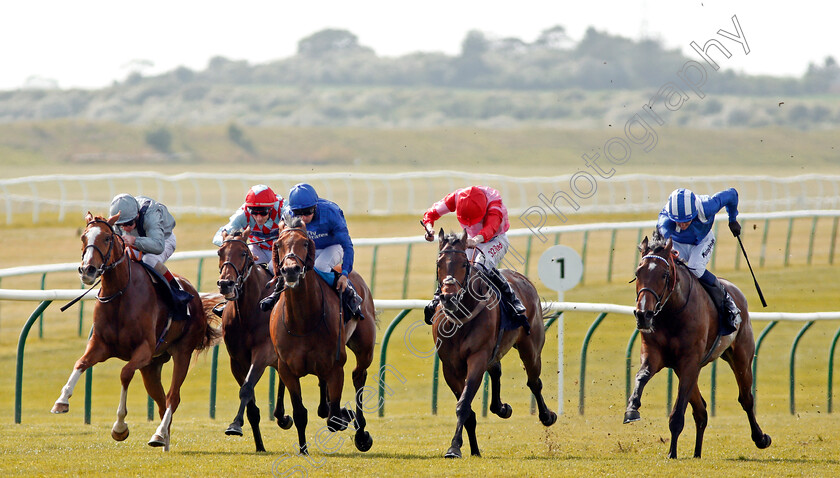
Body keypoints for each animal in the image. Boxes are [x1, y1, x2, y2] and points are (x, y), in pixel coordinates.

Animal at [50, 211, 221, 450]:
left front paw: (119, 427)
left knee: (173, 397)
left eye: (106, 238)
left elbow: (124, 373)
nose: (87, 270)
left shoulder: (144, 350)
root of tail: (194, 295)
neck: (120, 295)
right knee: (161, 400)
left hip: (182, 352)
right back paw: (163, 439)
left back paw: (159, 434)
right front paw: (61, 401)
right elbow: (81, 363)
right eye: (84, 237)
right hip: (152, 366)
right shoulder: (100, 345)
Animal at [215, 228, 294, 452]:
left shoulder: (262, 353)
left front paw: (234, 424)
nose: (225, 283)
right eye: (220, 252)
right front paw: (258, 444)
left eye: (243, 253)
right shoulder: (236, 360)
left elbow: (247, 388)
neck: (247, 313)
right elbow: (251, 403)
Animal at [270, 217, 378, 456]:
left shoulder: (335, 366)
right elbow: (300, 413)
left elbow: (334, 418)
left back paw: (361, 433)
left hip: (364, 347)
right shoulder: (287, 369)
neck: (303, 321)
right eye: (279, 244)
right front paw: (303, 450)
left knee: (359, 376)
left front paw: (347, 417)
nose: (291, 270)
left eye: (304, 242)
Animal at [430, 232, 556, 460]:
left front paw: (454, 447)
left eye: (464, 263)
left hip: (531, 349)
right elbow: (468, 410)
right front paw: (472, 449)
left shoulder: (478, 357)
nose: (449, 297)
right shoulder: (449, 367)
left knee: (534, 382)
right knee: (497, 370)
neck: (460, 317)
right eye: (439, 263)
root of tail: (524, 280)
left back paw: (547, 416)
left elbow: (463, 405)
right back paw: (502, 408)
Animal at [628, 233, 772, 458]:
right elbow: (642, 375)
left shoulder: (690, 361)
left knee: (746, 399)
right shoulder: (655, 354)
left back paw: (760, 438)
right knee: (701, 410)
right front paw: (632, 408)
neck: (672, 312)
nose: (643, 315)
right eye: (638, 272)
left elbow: (678, 413)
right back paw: (697, 453)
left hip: (741, 357)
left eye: (664, 275)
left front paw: (672, 453)